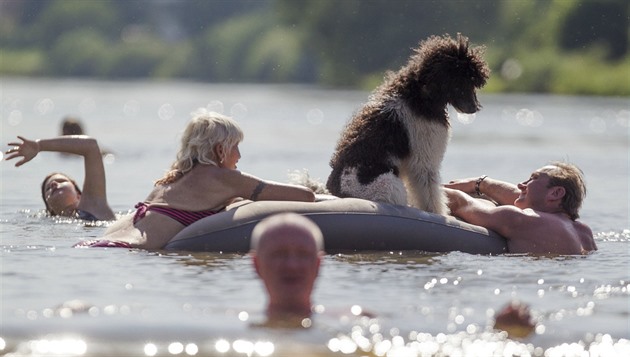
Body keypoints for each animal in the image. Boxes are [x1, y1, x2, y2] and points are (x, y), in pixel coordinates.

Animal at [328, 33, 492, 214]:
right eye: (461, 81)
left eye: (472, 82)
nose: (475, 107)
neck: (418, 96)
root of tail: (339, 193)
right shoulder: (424, 159)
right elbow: (431, 193)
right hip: (389, 185)